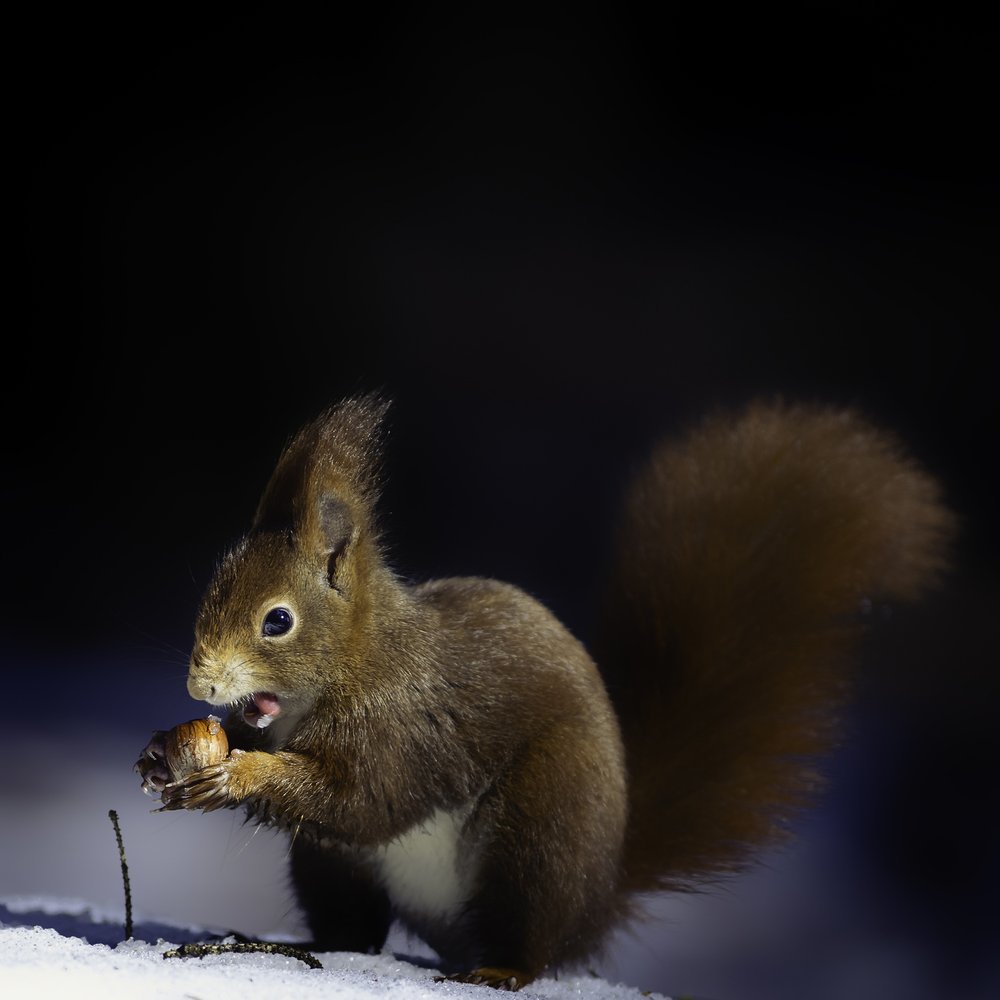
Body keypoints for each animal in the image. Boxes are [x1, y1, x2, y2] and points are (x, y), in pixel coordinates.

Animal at [137, 394, 953, 990]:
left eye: (277, 621)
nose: (199, 681)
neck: (360, 663)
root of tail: (599, 893)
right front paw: (164, 754)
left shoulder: (409, 725)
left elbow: (365, 798)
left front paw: (238, 775)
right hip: (331, 867)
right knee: (355, 929)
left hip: (540, 828)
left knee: (529, 938)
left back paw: (499, 968)